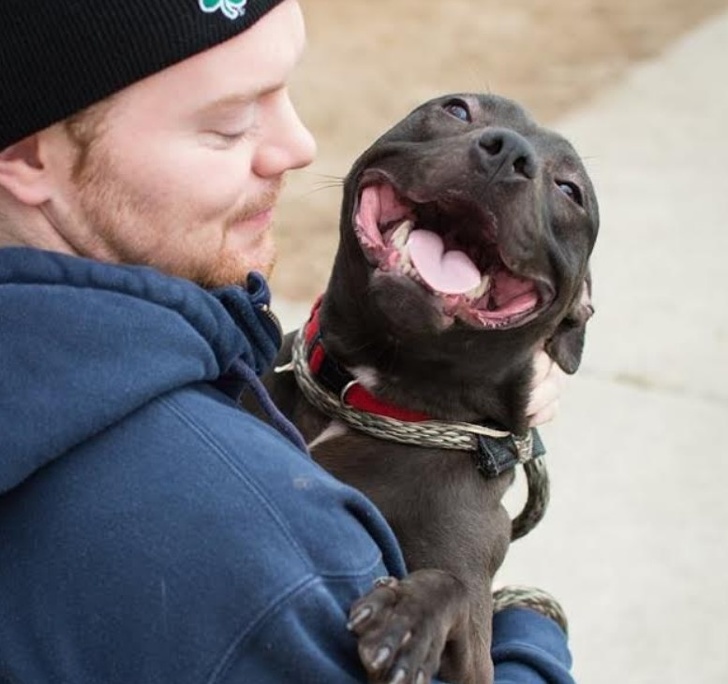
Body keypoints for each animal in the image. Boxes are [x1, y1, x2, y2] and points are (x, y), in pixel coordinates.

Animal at [262, 95, 596, 684]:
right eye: (458, 109)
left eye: (570, 190)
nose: (508, 152)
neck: (372, 391)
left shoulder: (477, 634)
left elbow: (454, 585)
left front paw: (408, 616)